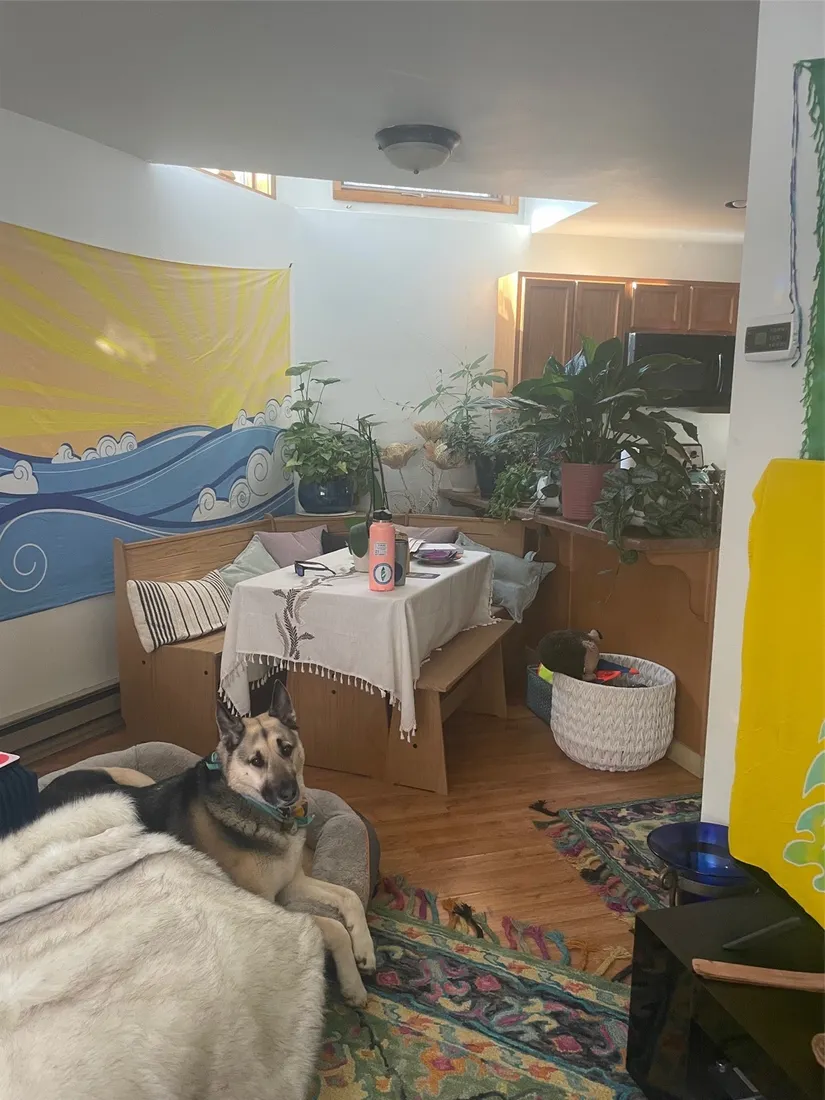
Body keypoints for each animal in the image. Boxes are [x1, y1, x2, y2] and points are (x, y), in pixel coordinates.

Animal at [39, 681, 376, 1007]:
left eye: (286, 748)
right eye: (256, 761)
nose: (289, 793)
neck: (253, 806)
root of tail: (45, 792)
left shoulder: (292, 884)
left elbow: (349, 896)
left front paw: (365, 950)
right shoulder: (267, 901)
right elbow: (333, 927)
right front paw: (353, 983)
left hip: (135, 778)